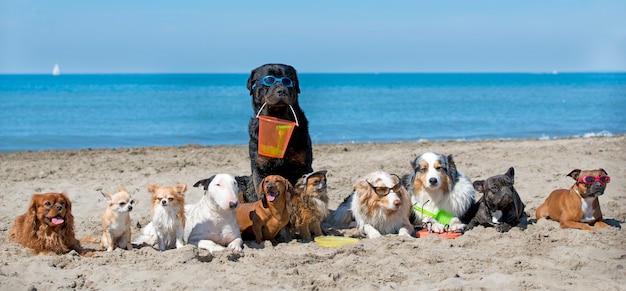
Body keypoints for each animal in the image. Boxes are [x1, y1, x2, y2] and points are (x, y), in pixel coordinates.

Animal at [235, 64, 312, 204]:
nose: (281, 90)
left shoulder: (303, 166)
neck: (277, 121)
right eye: (269, 80)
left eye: (287, 81)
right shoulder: (260, 168)